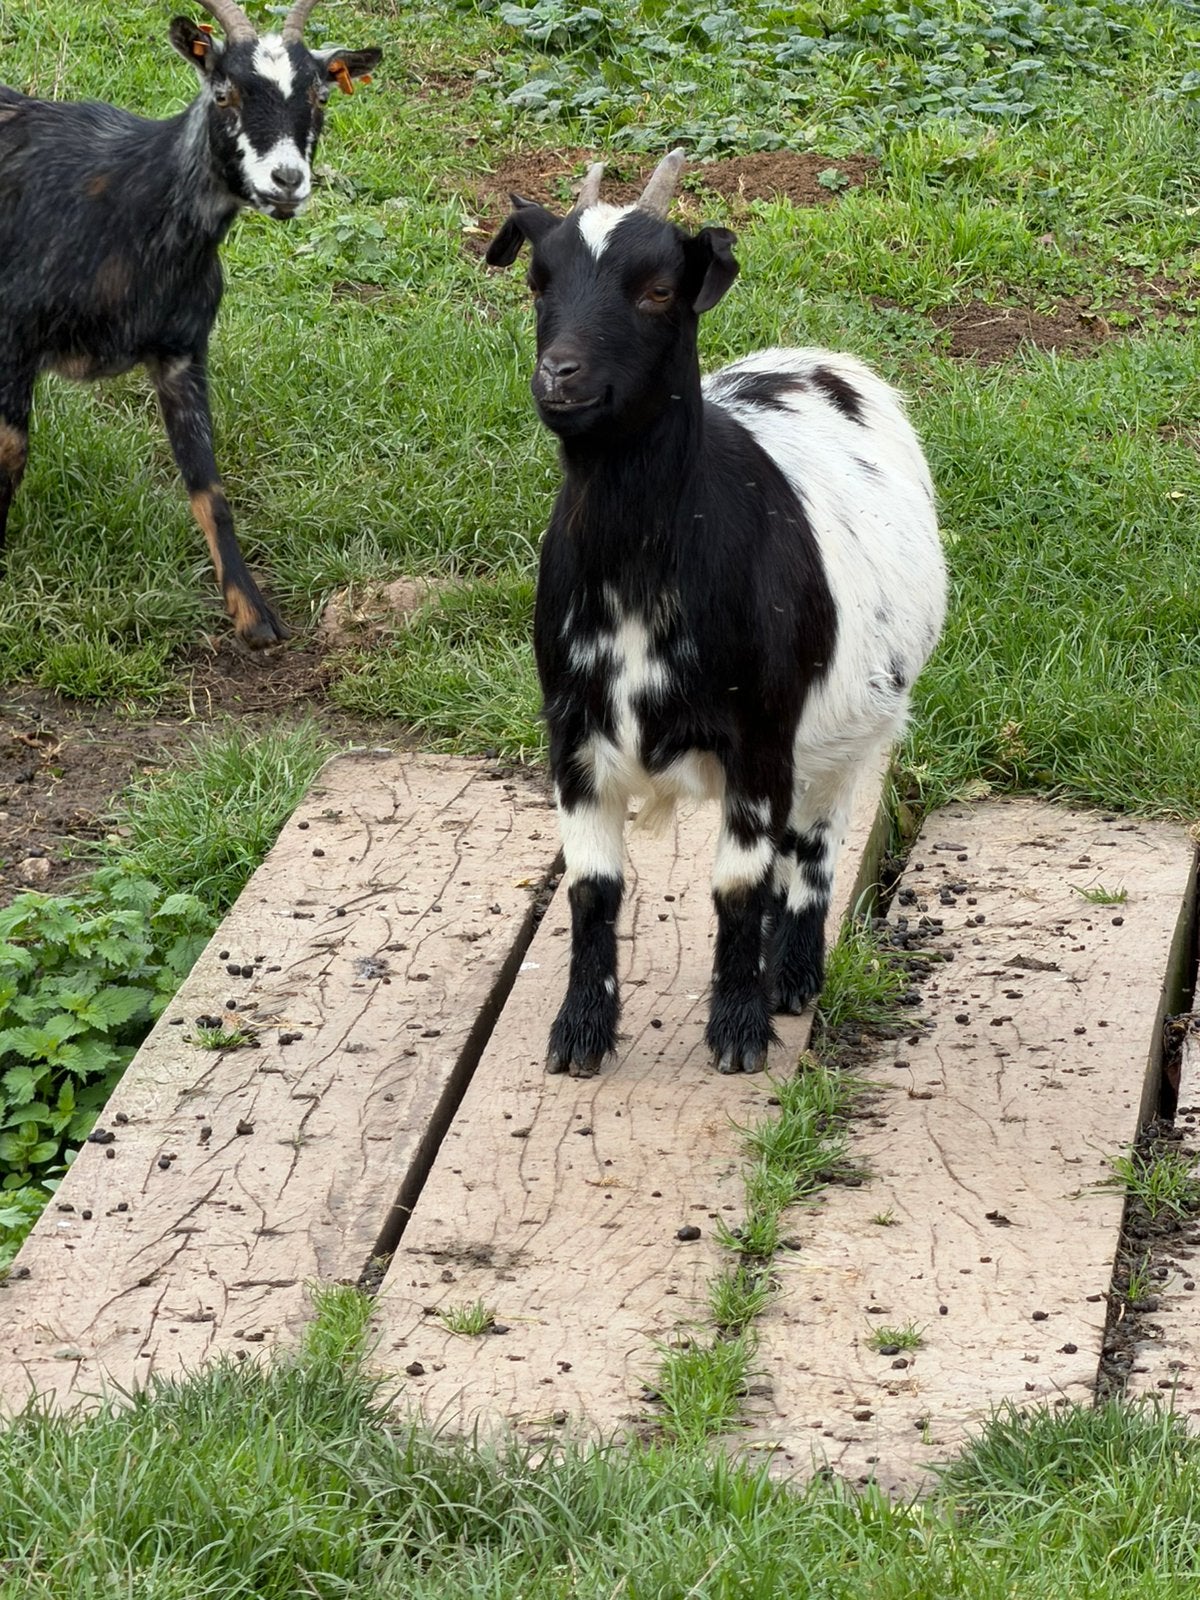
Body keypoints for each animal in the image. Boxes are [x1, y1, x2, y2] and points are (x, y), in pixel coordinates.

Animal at [0, 0, 380, 646]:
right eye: (223, 92)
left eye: (321, 96)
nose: (287, 181)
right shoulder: (12, 340)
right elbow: (10, 457)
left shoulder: (182, 352)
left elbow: (208, 485)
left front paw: (253, 615)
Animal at [486, 151, 947, 1077]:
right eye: (537, 280)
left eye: (659, 289)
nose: (559, 376)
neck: (642, 578)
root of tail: (820, 358)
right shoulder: (572, 732)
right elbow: (593, 889)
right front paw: (579, 1034)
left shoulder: (760, 735)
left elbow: (737, 884)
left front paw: (737, 1032)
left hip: (847, 734)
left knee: (813, 847)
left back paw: (791, 976)